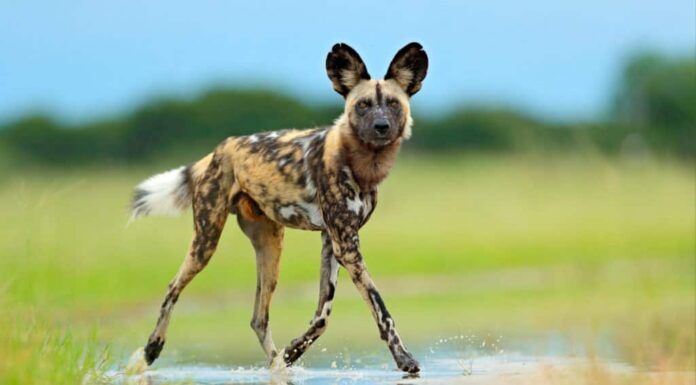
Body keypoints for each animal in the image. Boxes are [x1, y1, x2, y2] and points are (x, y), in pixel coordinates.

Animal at [128, 42, 426, 372]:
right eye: (363, 105)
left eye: (393, 104)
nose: (381, 126)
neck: (361, 163)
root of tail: (219, 150)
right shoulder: (347, 246)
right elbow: (380, 308)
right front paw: (404, 358)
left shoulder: (334, 242)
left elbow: (322, 317)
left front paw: (292, 351)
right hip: (205, 243)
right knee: (172, 288)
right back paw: (152, 348)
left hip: (270, 249)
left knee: (259, 318)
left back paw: (276, 364)